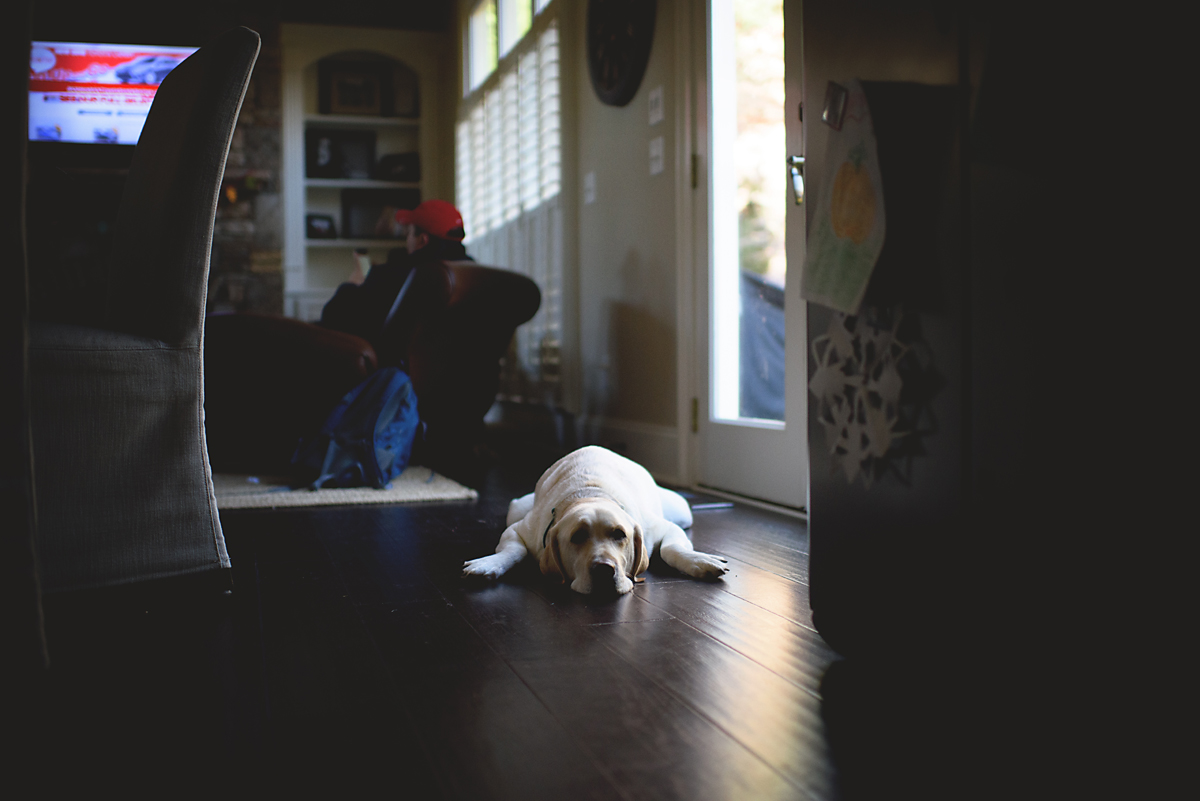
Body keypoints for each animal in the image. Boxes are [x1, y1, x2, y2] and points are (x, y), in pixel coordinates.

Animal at [462, 445, 728, 595]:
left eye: (620, 534)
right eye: (577, 537)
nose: (604, 570)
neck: (590, 493)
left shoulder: (663, 528)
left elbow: (671, 549)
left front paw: (699, 561)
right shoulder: (521, 529)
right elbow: (514, 550)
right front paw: (490, 563)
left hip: (682, 511)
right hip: (516, 509)